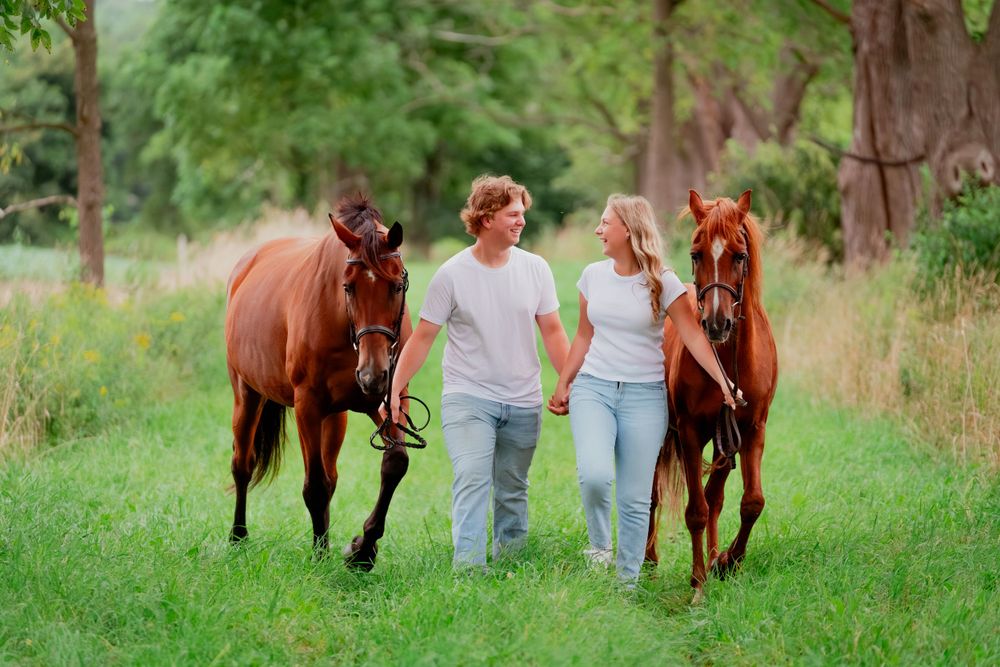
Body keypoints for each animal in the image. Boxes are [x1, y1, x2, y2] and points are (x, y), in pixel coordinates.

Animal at [224, 194, 413, 570]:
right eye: (348, 287)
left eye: (397, 285)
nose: (372, 375)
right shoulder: (307, 406)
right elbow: (314, 485)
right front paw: (322, 555)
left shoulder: (386, 399)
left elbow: (395, 462)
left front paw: (363, 549)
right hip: (247, 395)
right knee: (243, 464)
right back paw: (238, 536)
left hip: (335, 416)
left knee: (331, 475)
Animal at [645, 189, 778, 597]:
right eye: (695, 253)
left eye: (740, 255)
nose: (717, 324)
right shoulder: (689, 433)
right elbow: (696, 511)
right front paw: (699, 582)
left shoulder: (750, 430)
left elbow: (749, 503)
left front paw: (727, 561)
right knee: (653, 496)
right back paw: (648, 562)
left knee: (715, 497)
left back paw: (717, 553)